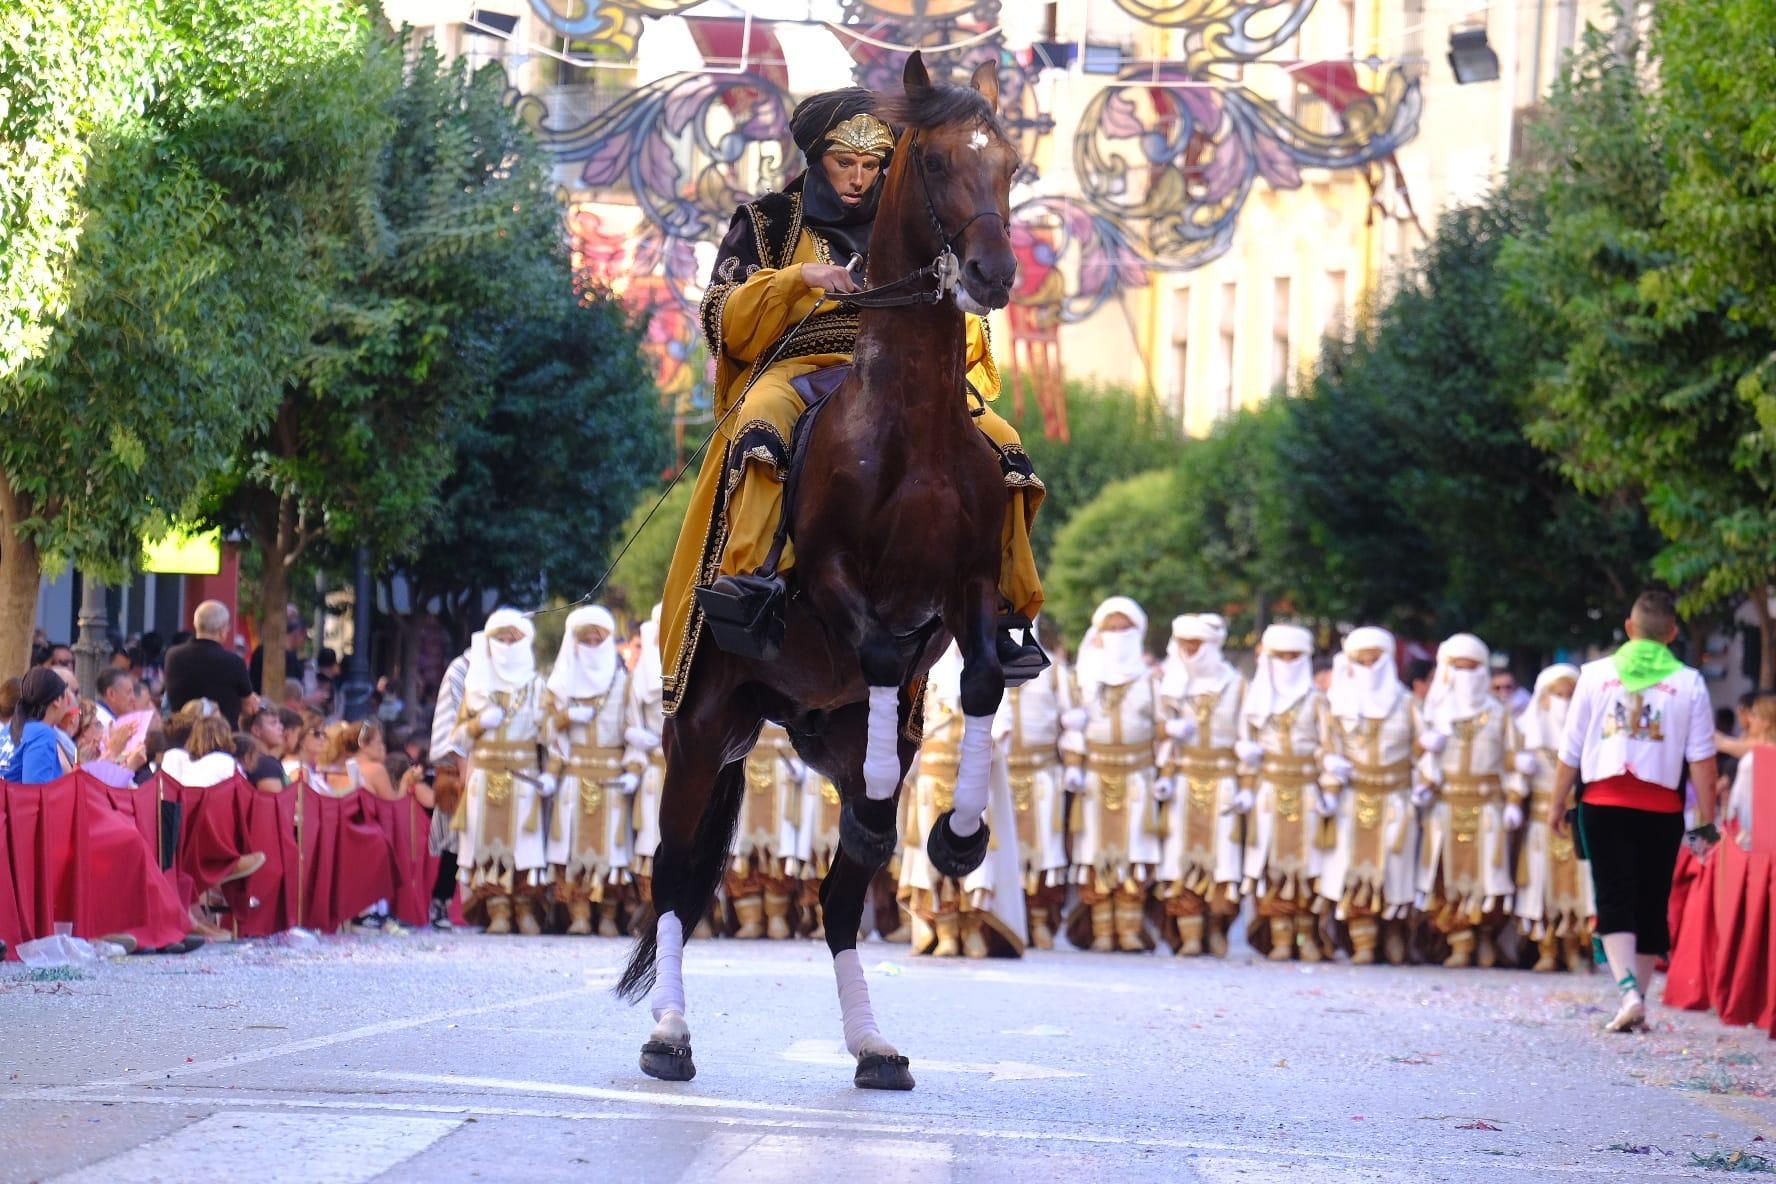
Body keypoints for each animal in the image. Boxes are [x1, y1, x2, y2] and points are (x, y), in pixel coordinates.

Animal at [618, 55, 1022, 1093]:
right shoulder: (838, 583)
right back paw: (669, 1034)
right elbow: (877, 648)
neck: (907, 426)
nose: (994, 273)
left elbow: (983, 678)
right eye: (934, 163)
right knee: (673, 880)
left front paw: (959, 831)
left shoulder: (966, 592)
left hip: (815, 729)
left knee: (840, 900)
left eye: (1008, 162)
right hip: (703, 729)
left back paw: (873, 1042)